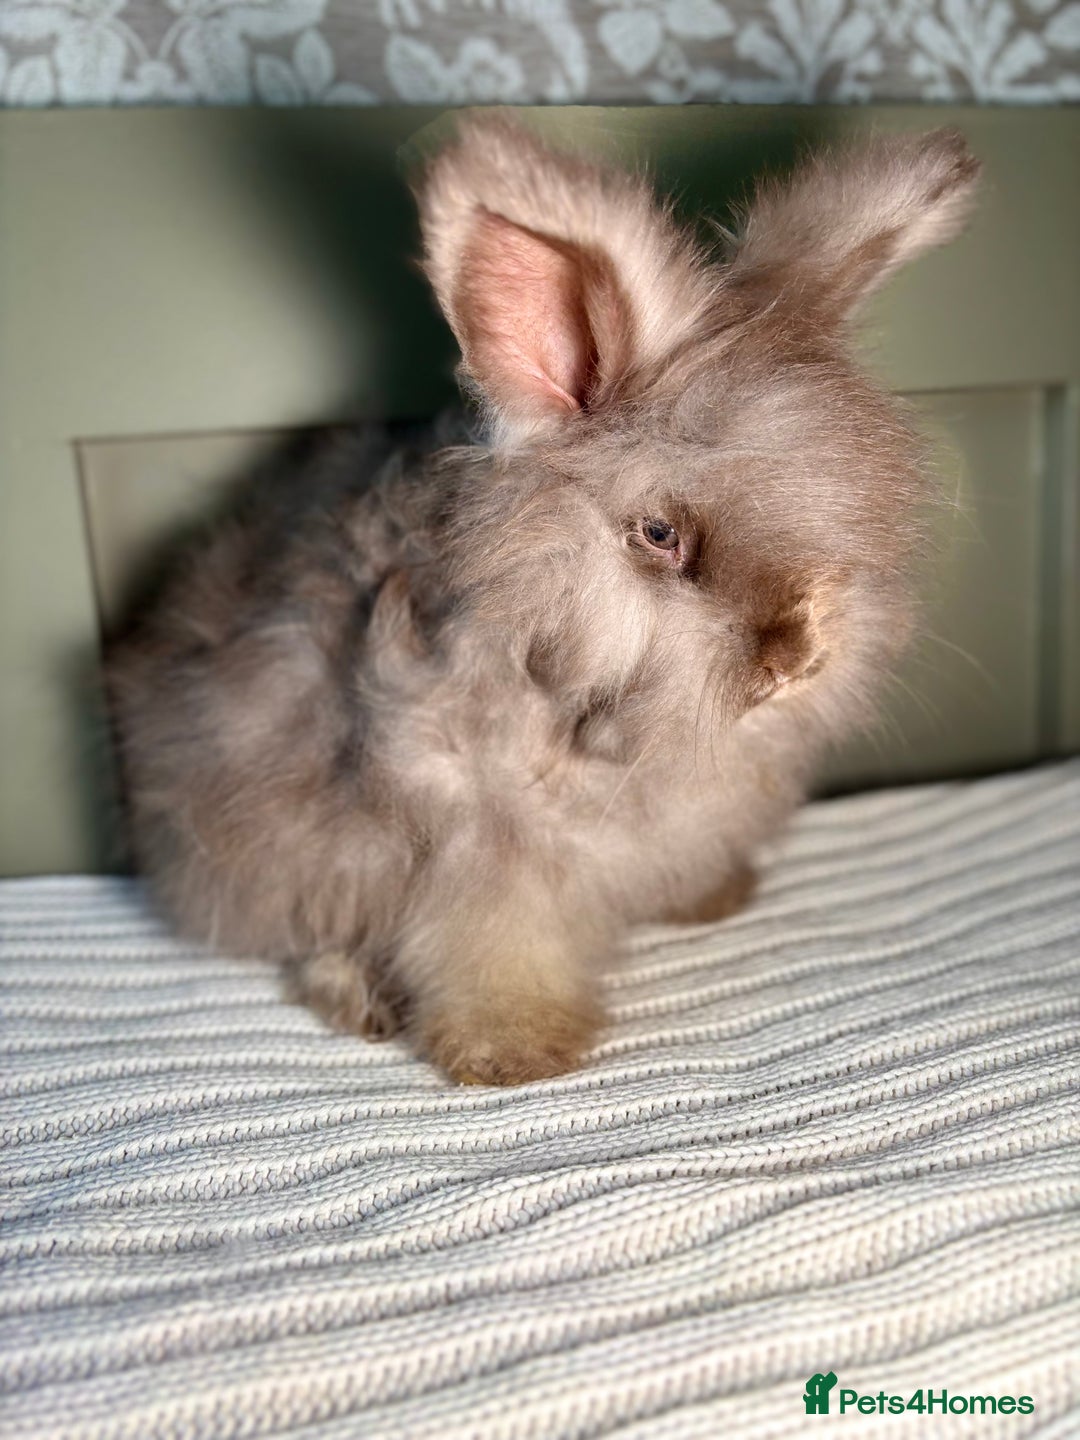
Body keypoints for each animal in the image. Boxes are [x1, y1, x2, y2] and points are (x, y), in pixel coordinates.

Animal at [108, 113, 979, 1085]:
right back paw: (361, 998)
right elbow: (493, 941)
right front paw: (516, 1052)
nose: (795, 658)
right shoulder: (476, 842)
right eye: (658, 535)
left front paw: (712, 897)